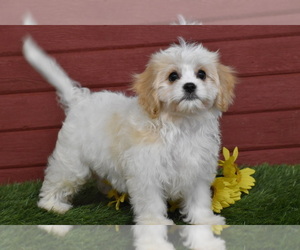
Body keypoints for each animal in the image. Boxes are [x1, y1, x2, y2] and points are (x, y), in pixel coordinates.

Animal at [22, 36, 237, 226]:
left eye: (201, 74)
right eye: (173, 76)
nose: (190, 86)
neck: (180, 122)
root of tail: (80, 100)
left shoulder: (197, 168)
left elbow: (199, 199)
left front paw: (205, 221)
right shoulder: (146, 171)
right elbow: (151, 201)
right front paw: (154, 223)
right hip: (71, 161)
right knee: (59, 178)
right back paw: (52, 204)